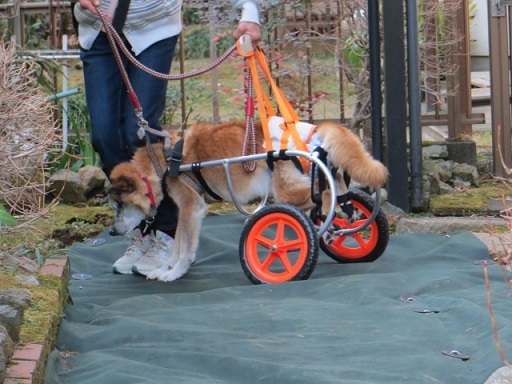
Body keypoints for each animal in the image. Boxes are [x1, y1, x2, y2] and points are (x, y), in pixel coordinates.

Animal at [109, 121, 388, 282]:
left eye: (120, 205)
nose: (111, 232)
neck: (164, 160)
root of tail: (311, 131)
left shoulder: (191, 208)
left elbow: (184, 249)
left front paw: (174, 273)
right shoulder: (188, 212)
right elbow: (177, 246)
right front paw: (164, 269)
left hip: (286, 191)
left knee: (327, 195)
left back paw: (331, 224)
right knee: (340, 190)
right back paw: (342, 221)